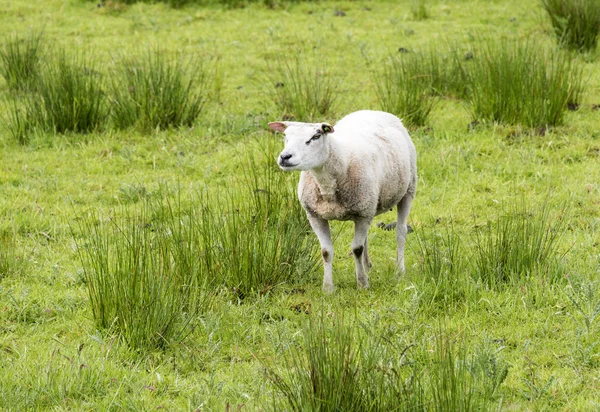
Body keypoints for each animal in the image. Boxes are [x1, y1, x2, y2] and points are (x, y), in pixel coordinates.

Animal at [268, 108, 418, 292]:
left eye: (315, 136)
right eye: (286, 136)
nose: (285, 157)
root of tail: (372, 110)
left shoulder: (362, 213)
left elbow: (357, 249)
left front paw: (362, 284)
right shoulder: (315, 216)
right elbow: (326, 251)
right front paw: (328, 288)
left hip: (408, 189)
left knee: (400, 232)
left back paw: (399, 270)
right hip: (368, 206)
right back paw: (367, 266)